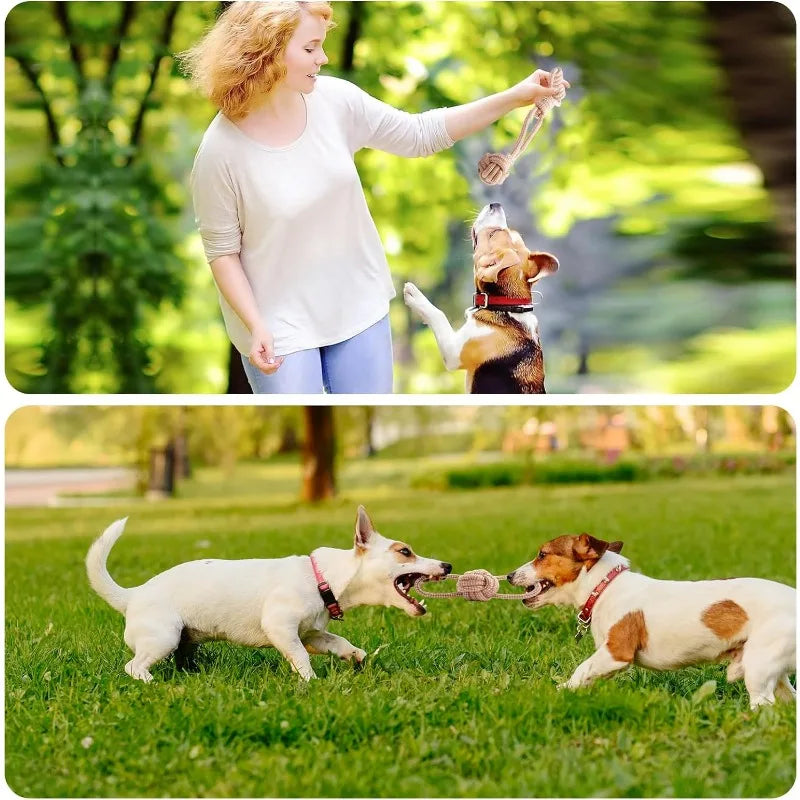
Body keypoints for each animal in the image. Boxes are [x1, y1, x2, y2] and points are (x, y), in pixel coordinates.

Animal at [89, 506, 450, 680]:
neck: (323, 578)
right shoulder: (281, 628)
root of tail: (133, 595)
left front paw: (356, 656)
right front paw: (310, 681)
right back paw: (150, 682)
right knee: (134, 667)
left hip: (183, 640)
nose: (447, 565)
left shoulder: (311, 633)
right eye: (405, 552)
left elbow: (336, 642)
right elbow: (300, 657)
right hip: (162, 637)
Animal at [406, 203, 556, 394]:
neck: (506, 307)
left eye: (492, 234)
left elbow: (438, 314)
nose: (496, 204)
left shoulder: (453, 352)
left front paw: (414, 295)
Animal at [510, 536, 796, 708]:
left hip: (759, 667)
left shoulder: (616, 653)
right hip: (776, 672)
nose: (511, 575)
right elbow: (587, 678)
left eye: (542, 554)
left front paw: (557, 690)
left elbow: (581, 669)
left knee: (764, 704)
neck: (605, 586)